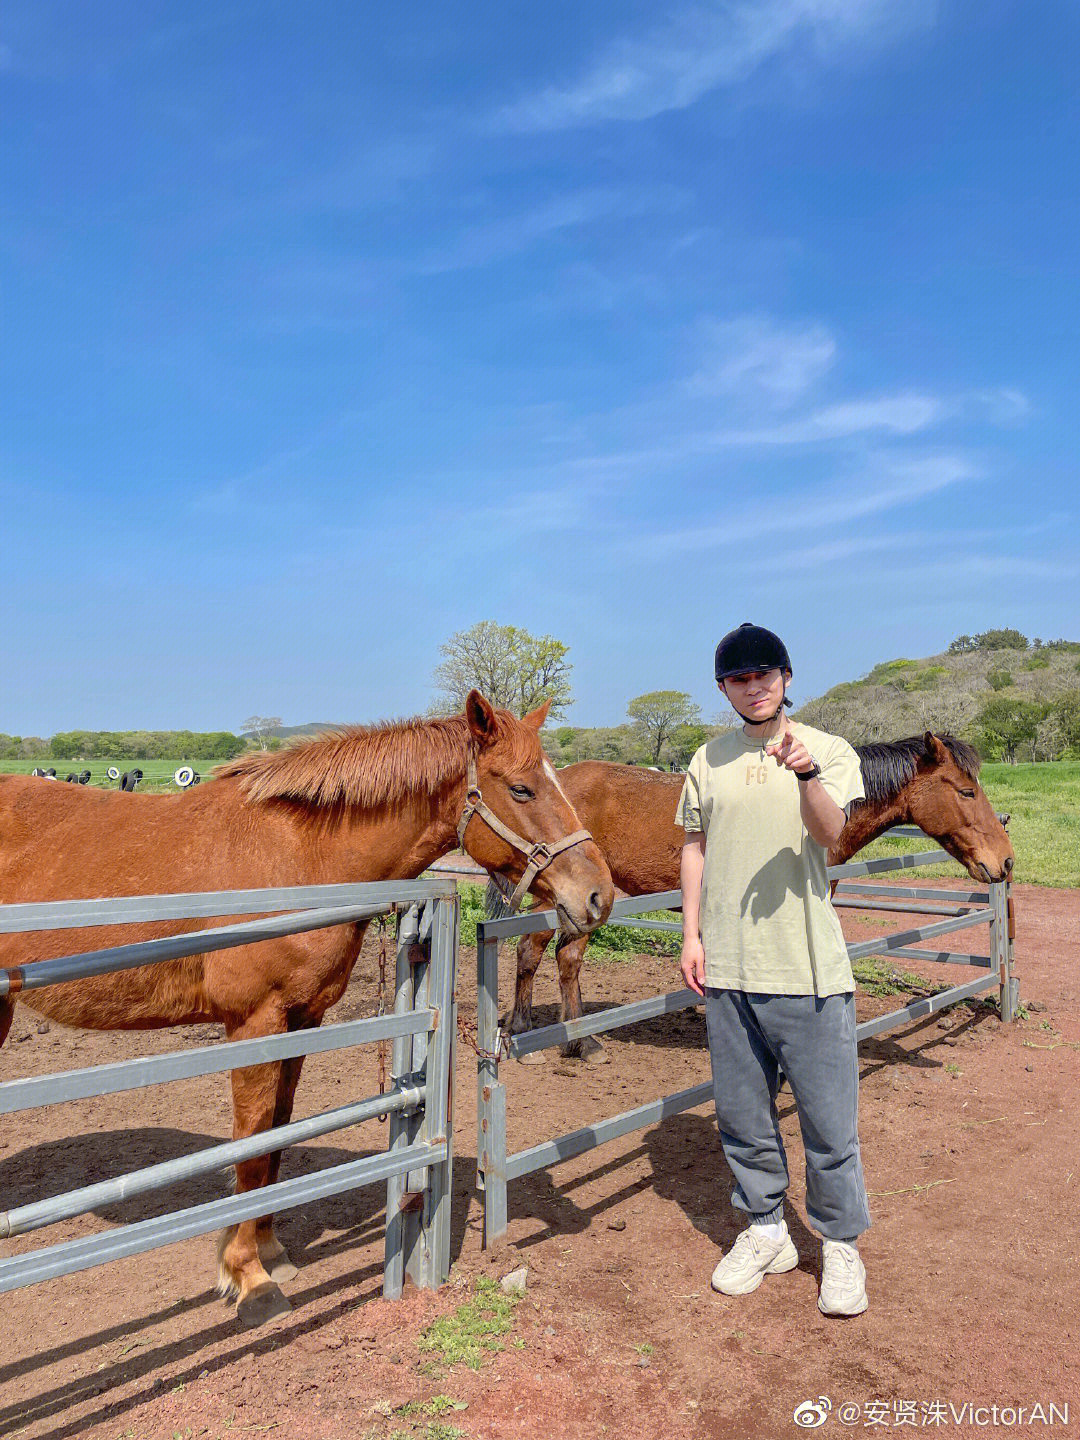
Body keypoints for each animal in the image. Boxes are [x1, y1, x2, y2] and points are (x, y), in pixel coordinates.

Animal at [0, 691, 613, 1319]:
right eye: (521, 789)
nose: (599, 894)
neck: (298, 858)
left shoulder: (303, 1019)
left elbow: (278, 1133)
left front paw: (270, 1249)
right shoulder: (255, 1023)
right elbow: (252, 1142)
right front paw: (248, 1277)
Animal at [506, 737, 1013, 1065]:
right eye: (966, 790)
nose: (1005, 861)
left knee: (568, 959)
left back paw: (580, 1044)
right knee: (531, 951)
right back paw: (523, 1036)